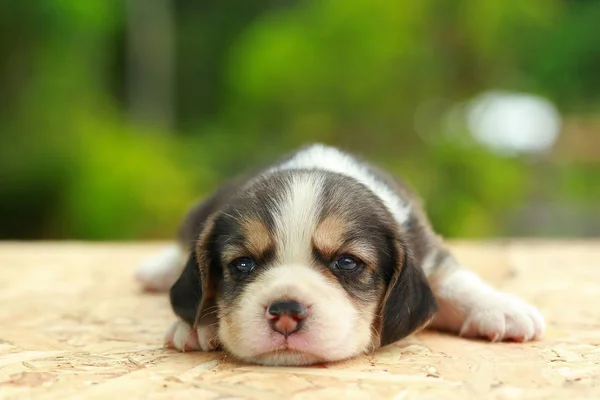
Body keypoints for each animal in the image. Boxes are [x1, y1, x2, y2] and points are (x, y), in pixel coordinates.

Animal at [136, 143, 544, 366]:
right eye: (242, 264)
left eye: (347, 262)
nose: (286, 312)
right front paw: (198, 324)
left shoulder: (427, 250)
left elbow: (456, 280)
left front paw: (501, 308)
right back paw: (155, 271)